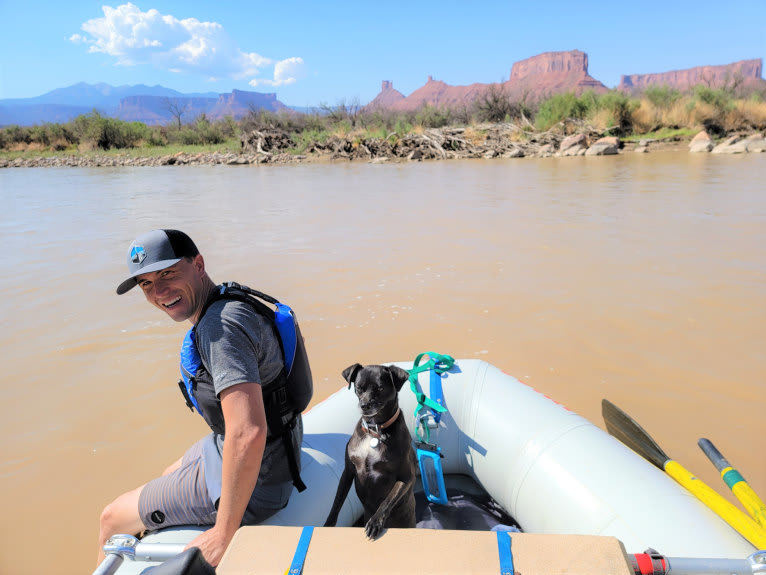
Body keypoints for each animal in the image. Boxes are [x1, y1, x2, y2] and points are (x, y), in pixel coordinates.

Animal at [324, 364, 420, 540]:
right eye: (358, 387)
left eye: (381, 388)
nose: (365, 405)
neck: (374, 431)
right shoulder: (348, 471)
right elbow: (338, 501)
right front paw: (329, 524)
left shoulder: (405, 478)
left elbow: (387, 501)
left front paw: (375, 522)